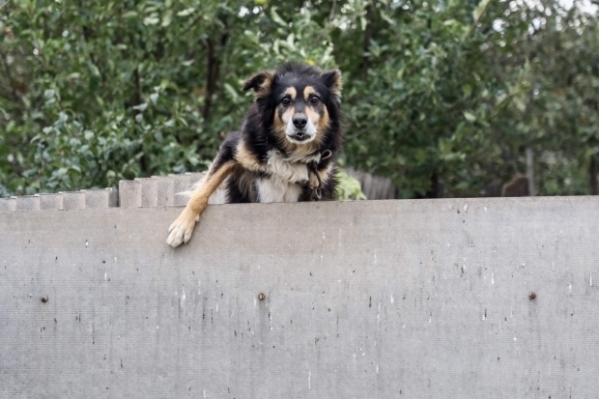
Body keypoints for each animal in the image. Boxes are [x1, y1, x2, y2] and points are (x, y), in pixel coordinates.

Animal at [166, 63, 344, 248]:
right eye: (285, 100)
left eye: (314, 99)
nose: (300, 121)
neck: (289, 151)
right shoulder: (233, 148)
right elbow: (203, 190)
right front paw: (181, 226)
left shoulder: (318, 183)